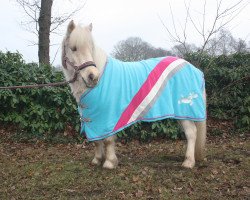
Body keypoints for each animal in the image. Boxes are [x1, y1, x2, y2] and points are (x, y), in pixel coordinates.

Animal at [61, 21, 206, 170]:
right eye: (73, 48)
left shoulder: (107, 118)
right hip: (181, 114)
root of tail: (194, 69)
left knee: (191, 133)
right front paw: (97, 160)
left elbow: (107, 140)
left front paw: (109, 162)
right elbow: (97, 141)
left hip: (185, 112)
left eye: (91, 48)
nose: (93, 76)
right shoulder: (94, 119)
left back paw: (188, 162)